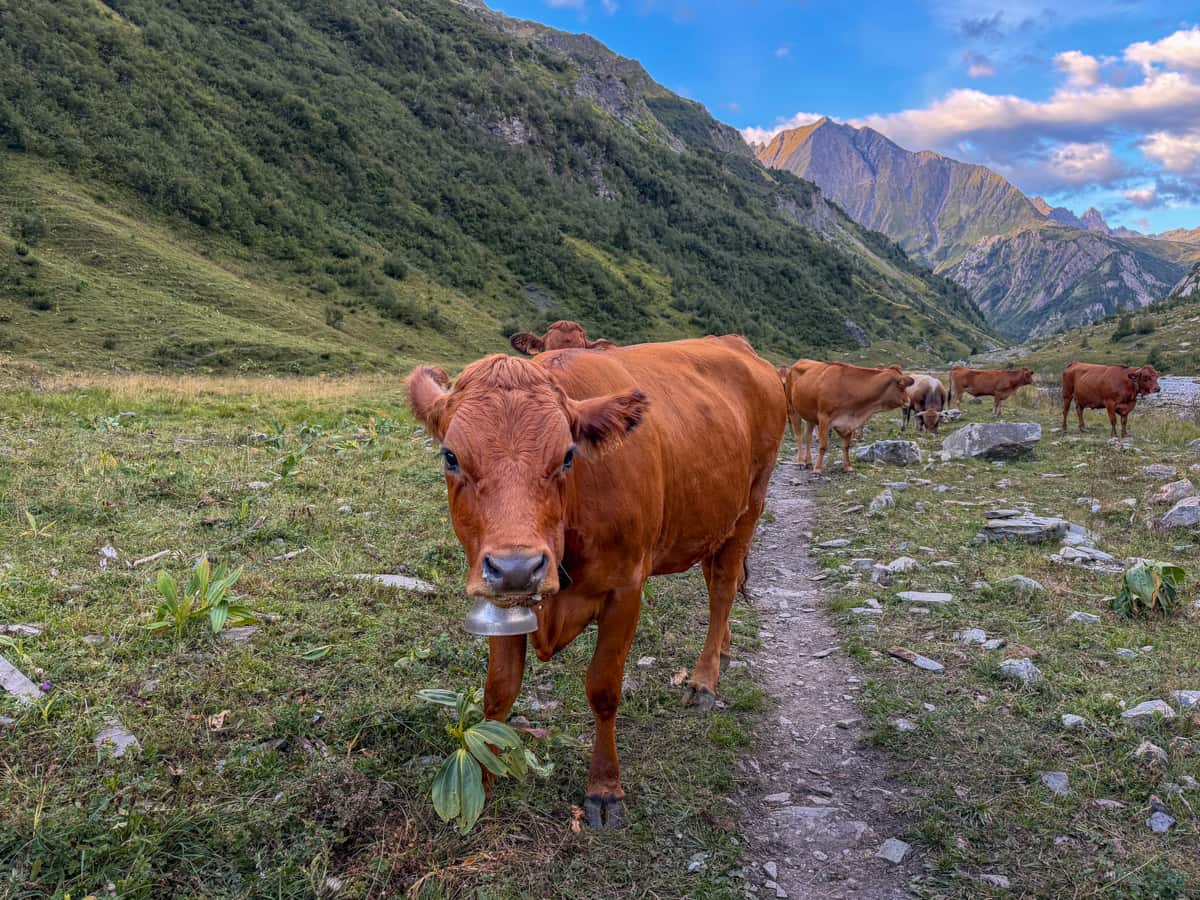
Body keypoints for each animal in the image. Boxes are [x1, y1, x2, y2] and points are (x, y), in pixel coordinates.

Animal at [406, 336, 785, 829]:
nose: (517, 567)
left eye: (568, 455)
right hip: (713, 518)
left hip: (751, 503)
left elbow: (603, 688)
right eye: (450, 456)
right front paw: (486, 778)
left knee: (722, 586)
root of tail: (736, 345)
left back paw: (703, 680)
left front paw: (605, 788)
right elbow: (499, 689)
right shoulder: (499, 597)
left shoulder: (626, 589)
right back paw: (722, 649)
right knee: (718, 576)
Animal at [783, 360, 913, 474]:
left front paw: (848, 467)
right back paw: (800, 462)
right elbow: (823, 446)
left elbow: (846, 446)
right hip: (792, 409)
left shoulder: (848, 421)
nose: (908, 401)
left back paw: (809, 462)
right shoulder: (824, 418)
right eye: (901, 385)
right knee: (799, 436)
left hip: (810, 415)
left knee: (808, 437)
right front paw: (818, 469)